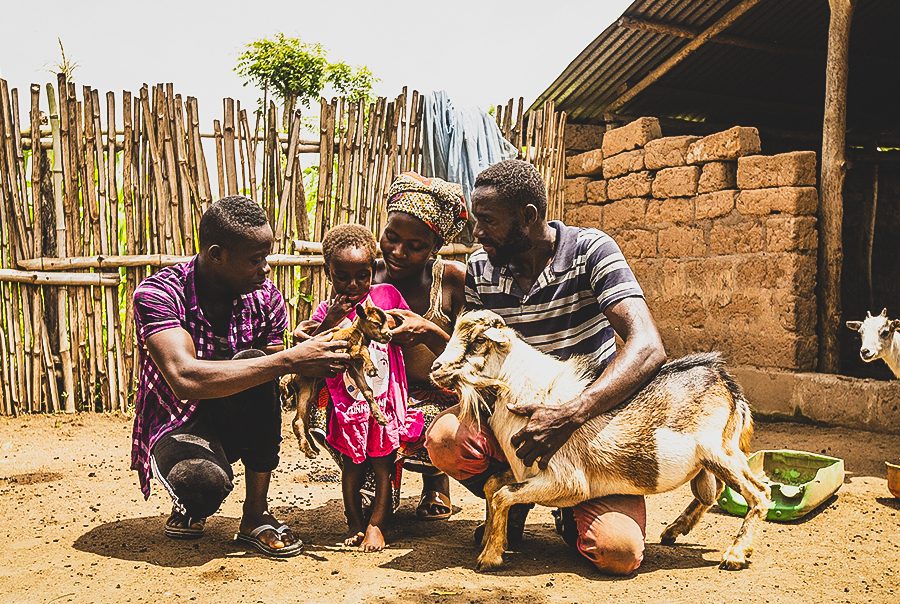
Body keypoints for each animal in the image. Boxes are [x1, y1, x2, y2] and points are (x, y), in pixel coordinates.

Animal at [282, 304, 394, 456]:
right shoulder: (350, 352)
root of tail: (291, 375)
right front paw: (371, 368)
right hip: (306, 386)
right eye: (376, 324)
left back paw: (312, 447)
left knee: (301, 420)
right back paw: (307, 449)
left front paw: (380, 417)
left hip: (310, 390)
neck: (358, 332)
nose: (389, 335)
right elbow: (364, 349)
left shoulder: (355, 368)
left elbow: (367, 391)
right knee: (298, 421)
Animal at [432, 312, 768, 572]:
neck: (528, 391)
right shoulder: (523, 471)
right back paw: (674, 531)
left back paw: (735, 555)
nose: (436, 368)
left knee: (759, 492)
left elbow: (502, 495)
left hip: (719, 453)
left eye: (478, 341)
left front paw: (489, 558)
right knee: (713, 492)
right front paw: (492, 542)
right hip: (710, 459)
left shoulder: (568, 483)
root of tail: (725, 380)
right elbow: (493, 487)